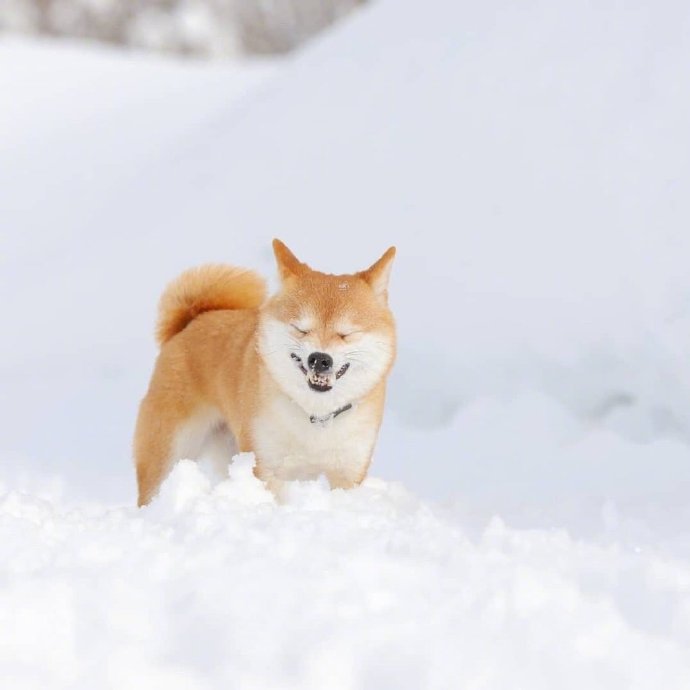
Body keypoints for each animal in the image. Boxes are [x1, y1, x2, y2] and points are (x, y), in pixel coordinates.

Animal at [132, 239, 396, 502]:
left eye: (346, 334)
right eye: (300, 329)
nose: (320, 359)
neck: (315, 416)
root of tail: (189, 324)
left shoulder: (348, 473)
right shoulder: (266, 468)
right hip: (170, 455)